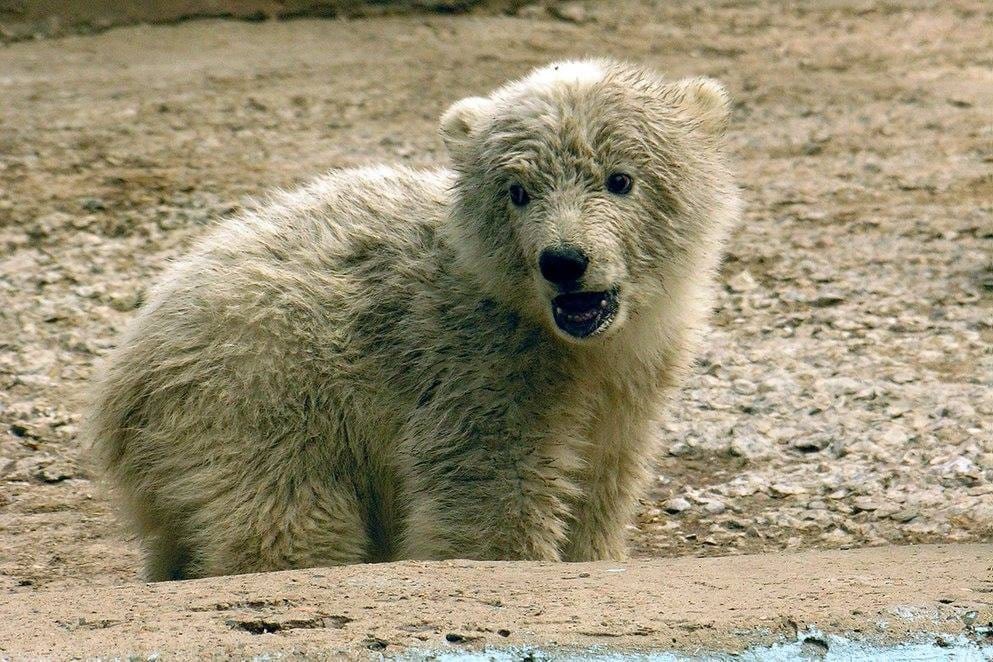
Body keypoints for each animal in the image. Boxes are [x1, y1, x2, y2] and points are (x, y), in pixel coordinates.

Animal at [86, 59, 740, 580]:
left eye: (621, 177)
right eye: (517, 190)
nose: (564, 261)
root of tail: (125, 376)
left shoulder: (631, 384)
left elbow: (600, 482)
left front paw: (593, 551)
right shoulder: (475, 365)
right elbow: (487, 490)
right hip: (261, 394)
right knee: (288, 516)